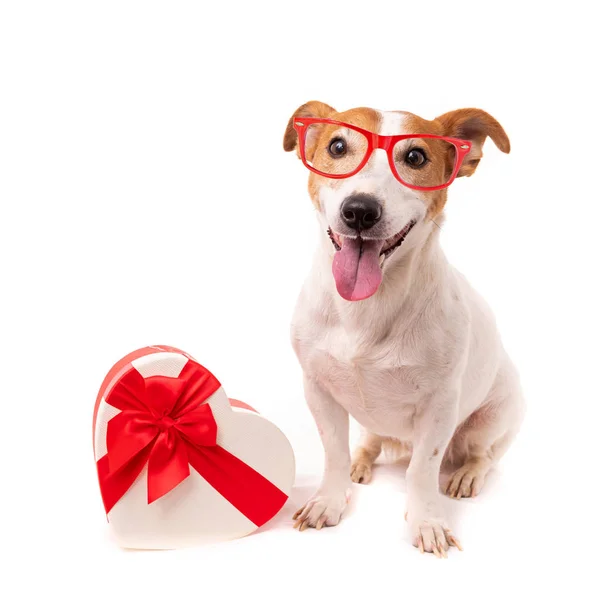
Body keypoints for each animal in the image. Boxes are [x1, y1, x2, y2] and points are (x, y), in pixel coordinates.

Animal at [284, 102, 524, 556]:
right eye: (337, 146)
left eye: (415, 156)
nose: (360, 210)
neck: (366, 308)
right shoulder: (317, 389)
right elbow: (334, 454)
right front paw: (329, 501)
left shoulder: (439, 407)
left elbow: (421, 471)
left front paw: (427, 522)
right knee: (370, 440)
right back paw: (363, 458)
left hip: (492, 418)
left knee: (483, 455)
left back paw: (467, 474)